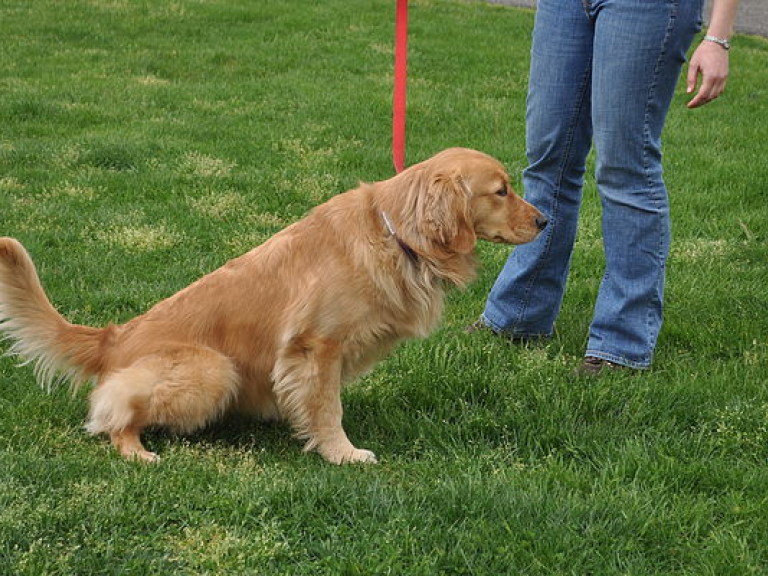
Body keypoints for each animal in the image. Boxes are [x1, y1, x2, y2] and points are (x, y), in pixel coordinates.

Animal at [3, 148, 548, 464]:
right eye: (501, 191)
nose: (546, 221)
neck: (396, 234)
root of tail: (112, 338)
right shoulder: (317, 346)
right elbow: (327, 407)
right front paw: (342, 453)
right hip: (213, 370)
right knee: (111, 413)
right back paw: (136, 450)